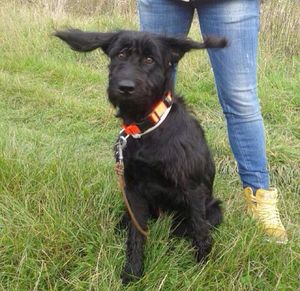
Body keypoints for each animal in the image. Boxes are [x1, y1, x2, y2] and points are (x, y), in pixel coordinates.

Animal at [55, 30, 226, 286]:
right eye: (121, 54)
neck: (147, 128)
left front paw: (203, 267)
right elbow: (135, 236)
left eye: (149, 60)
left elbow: (199, 231)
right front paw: (133, 272)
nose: (125, 87)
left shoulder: (193, 189)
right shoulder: (133, 191)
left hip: (212, 210)